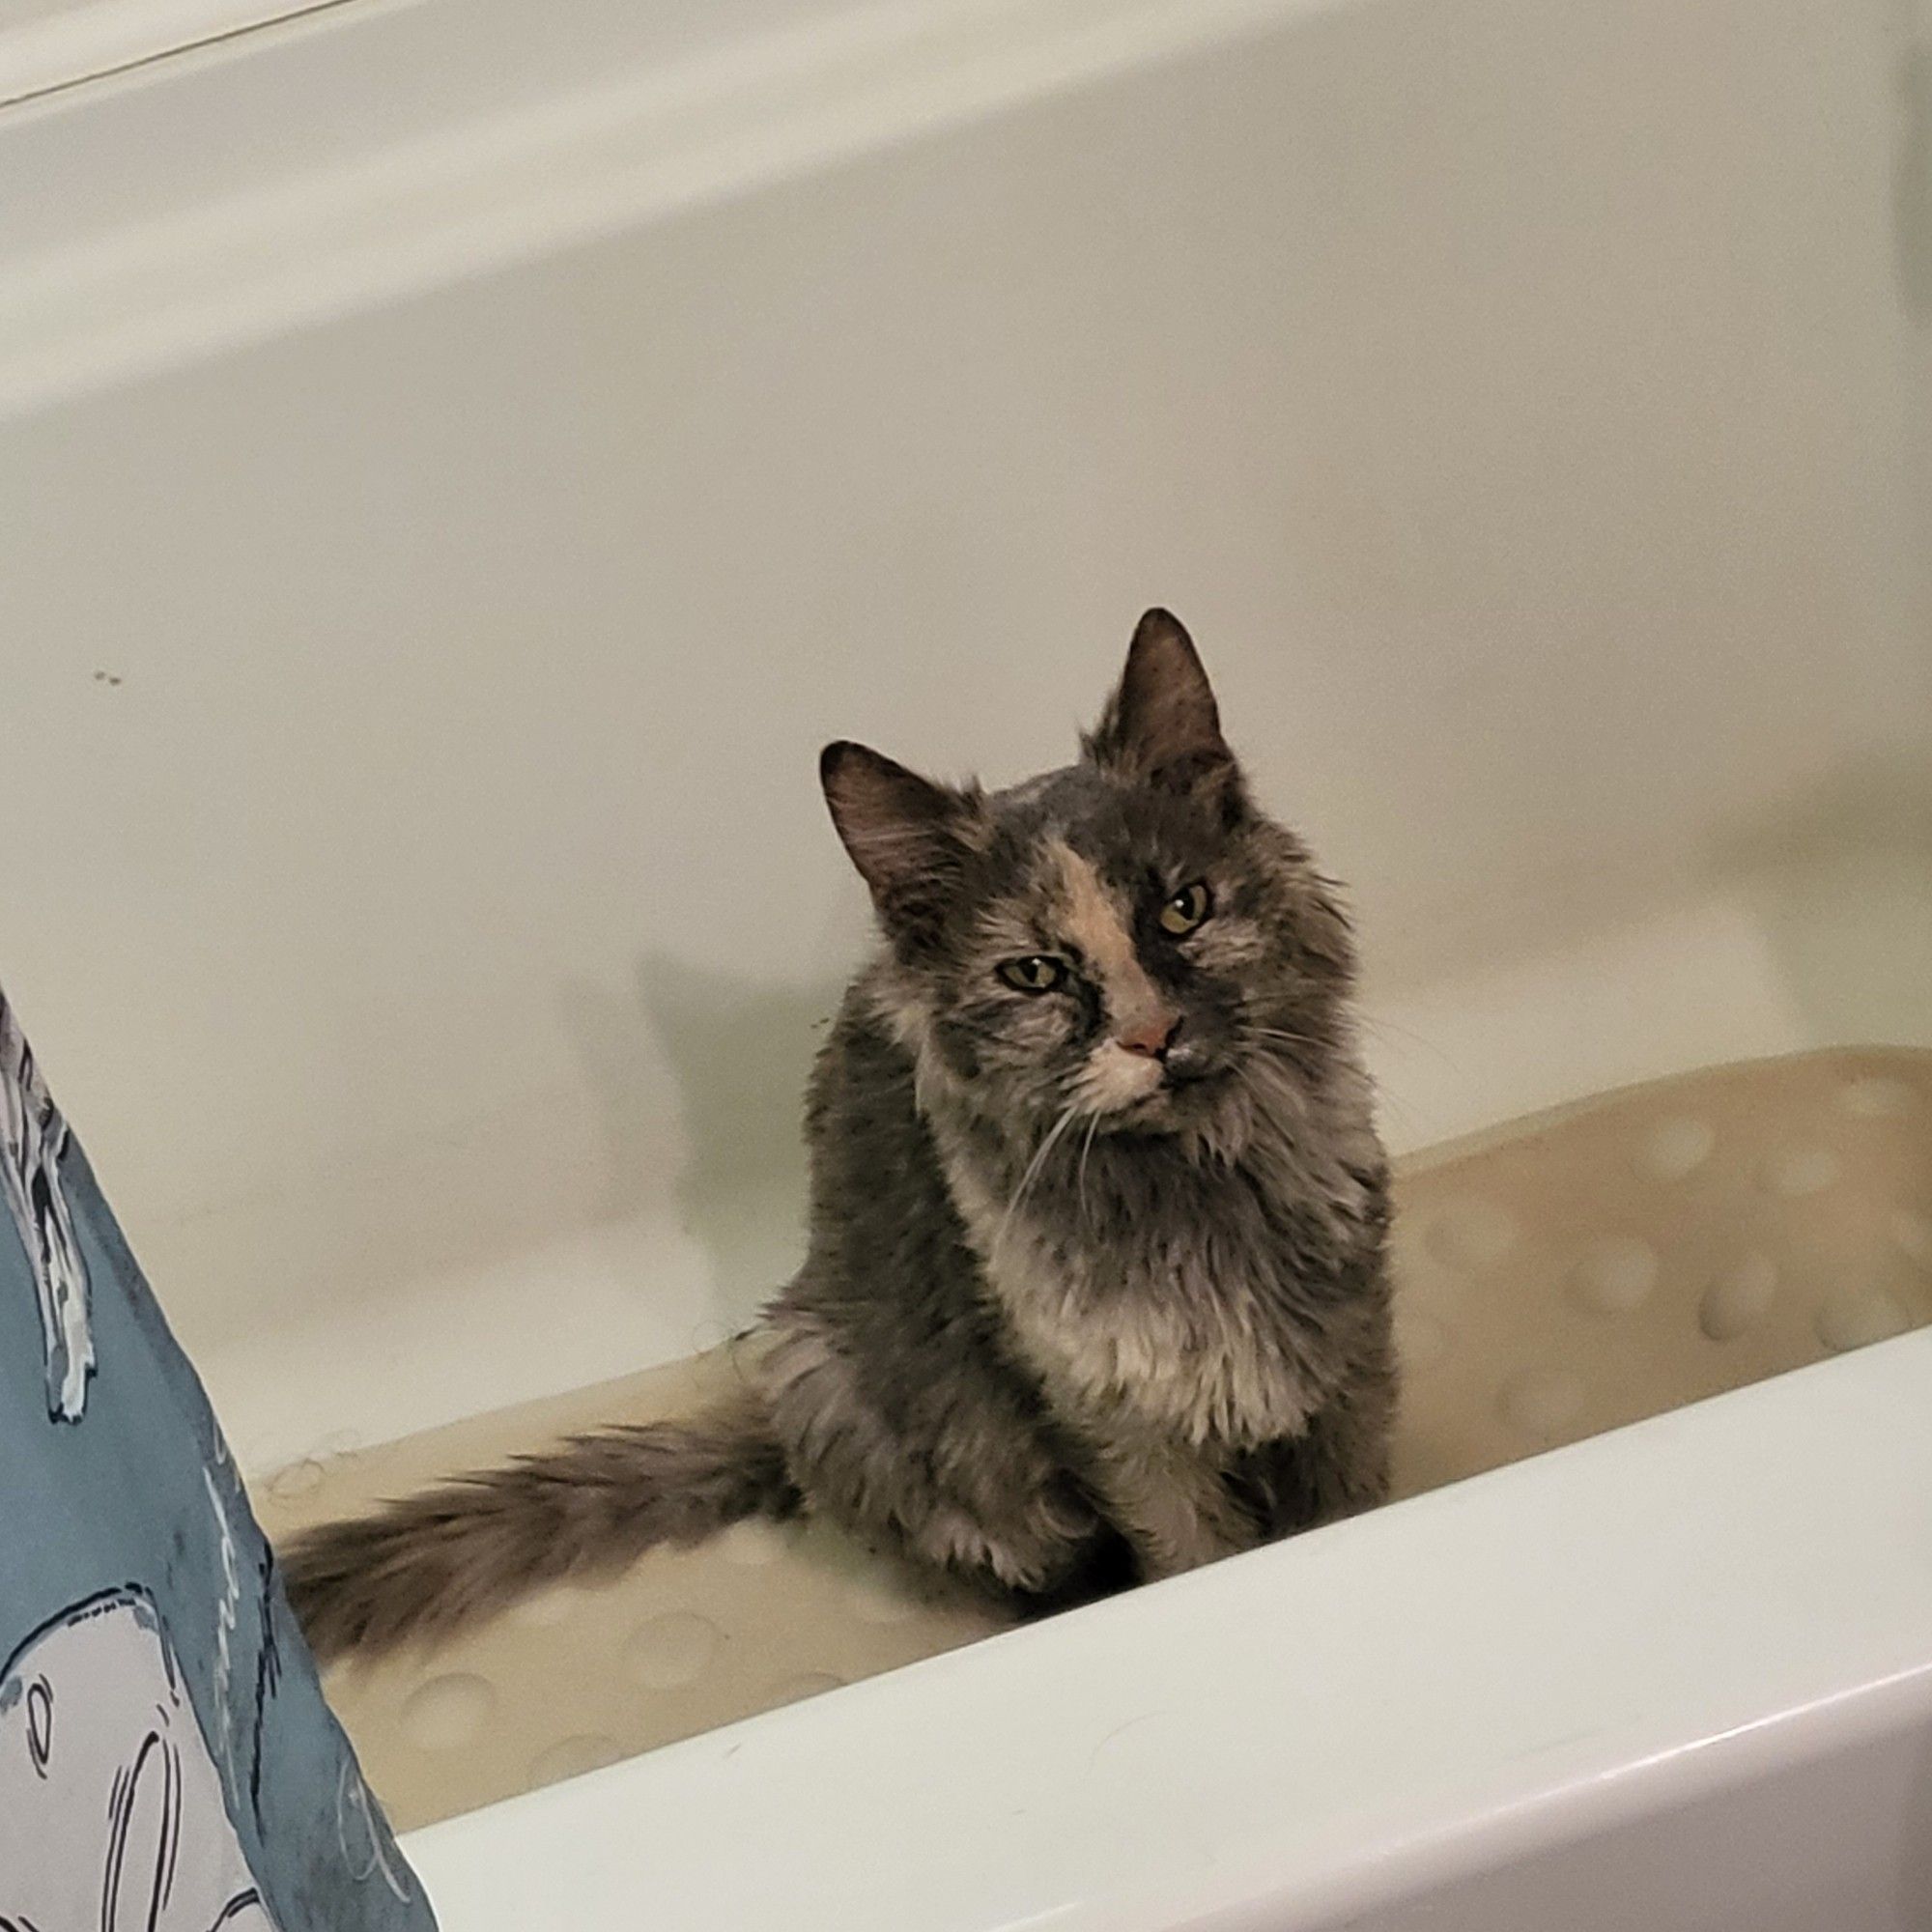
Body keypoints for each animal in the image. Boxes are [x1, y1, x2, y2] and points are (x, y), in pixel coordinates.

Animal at [286, 607, 1399, 1662]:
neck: (1203, 1193)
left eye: (1182, 908)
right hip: (833, 1382)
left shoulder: (1346, 1363)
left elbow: (1356, 1503)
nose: (1152, 1034)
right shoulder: (1118, 1425)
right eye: (1034, 974)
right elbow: (1192, 1553)